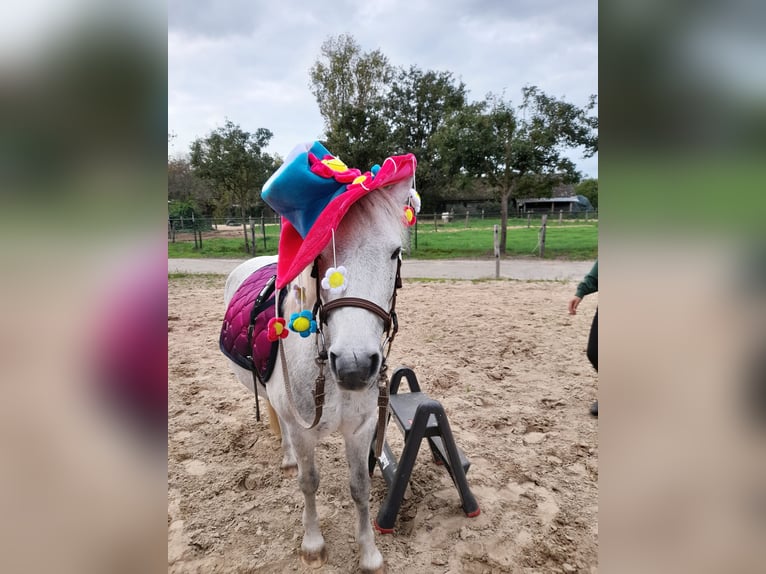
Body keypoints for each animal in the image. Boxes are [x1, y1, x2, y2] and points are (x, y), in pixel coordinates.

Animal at [224, 178, 414, 572]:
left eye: (394, 254)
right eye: (320, 258)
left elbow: (360, 487)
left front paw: (369, 553)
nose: (355, 367)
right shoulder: (302, 430)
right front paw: (312, 544)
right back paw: (287, 458)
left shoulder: (361, 429)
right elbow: (309, 482)